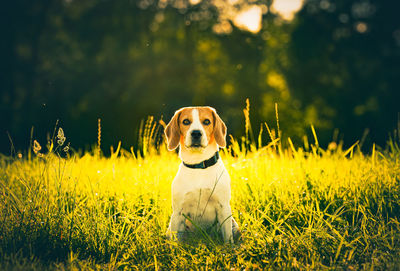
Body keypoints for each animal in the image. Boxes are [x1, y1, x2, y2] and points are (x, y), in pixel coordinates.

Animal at [163, 106, 238, 244]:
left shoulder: (224, 208)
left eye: (207, 121)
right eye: (186, 121)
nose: (196, 133)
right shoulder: (178, 213)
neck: (199, 166)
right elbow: (175, 242)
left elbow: (227, 239)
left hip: (234, 223)